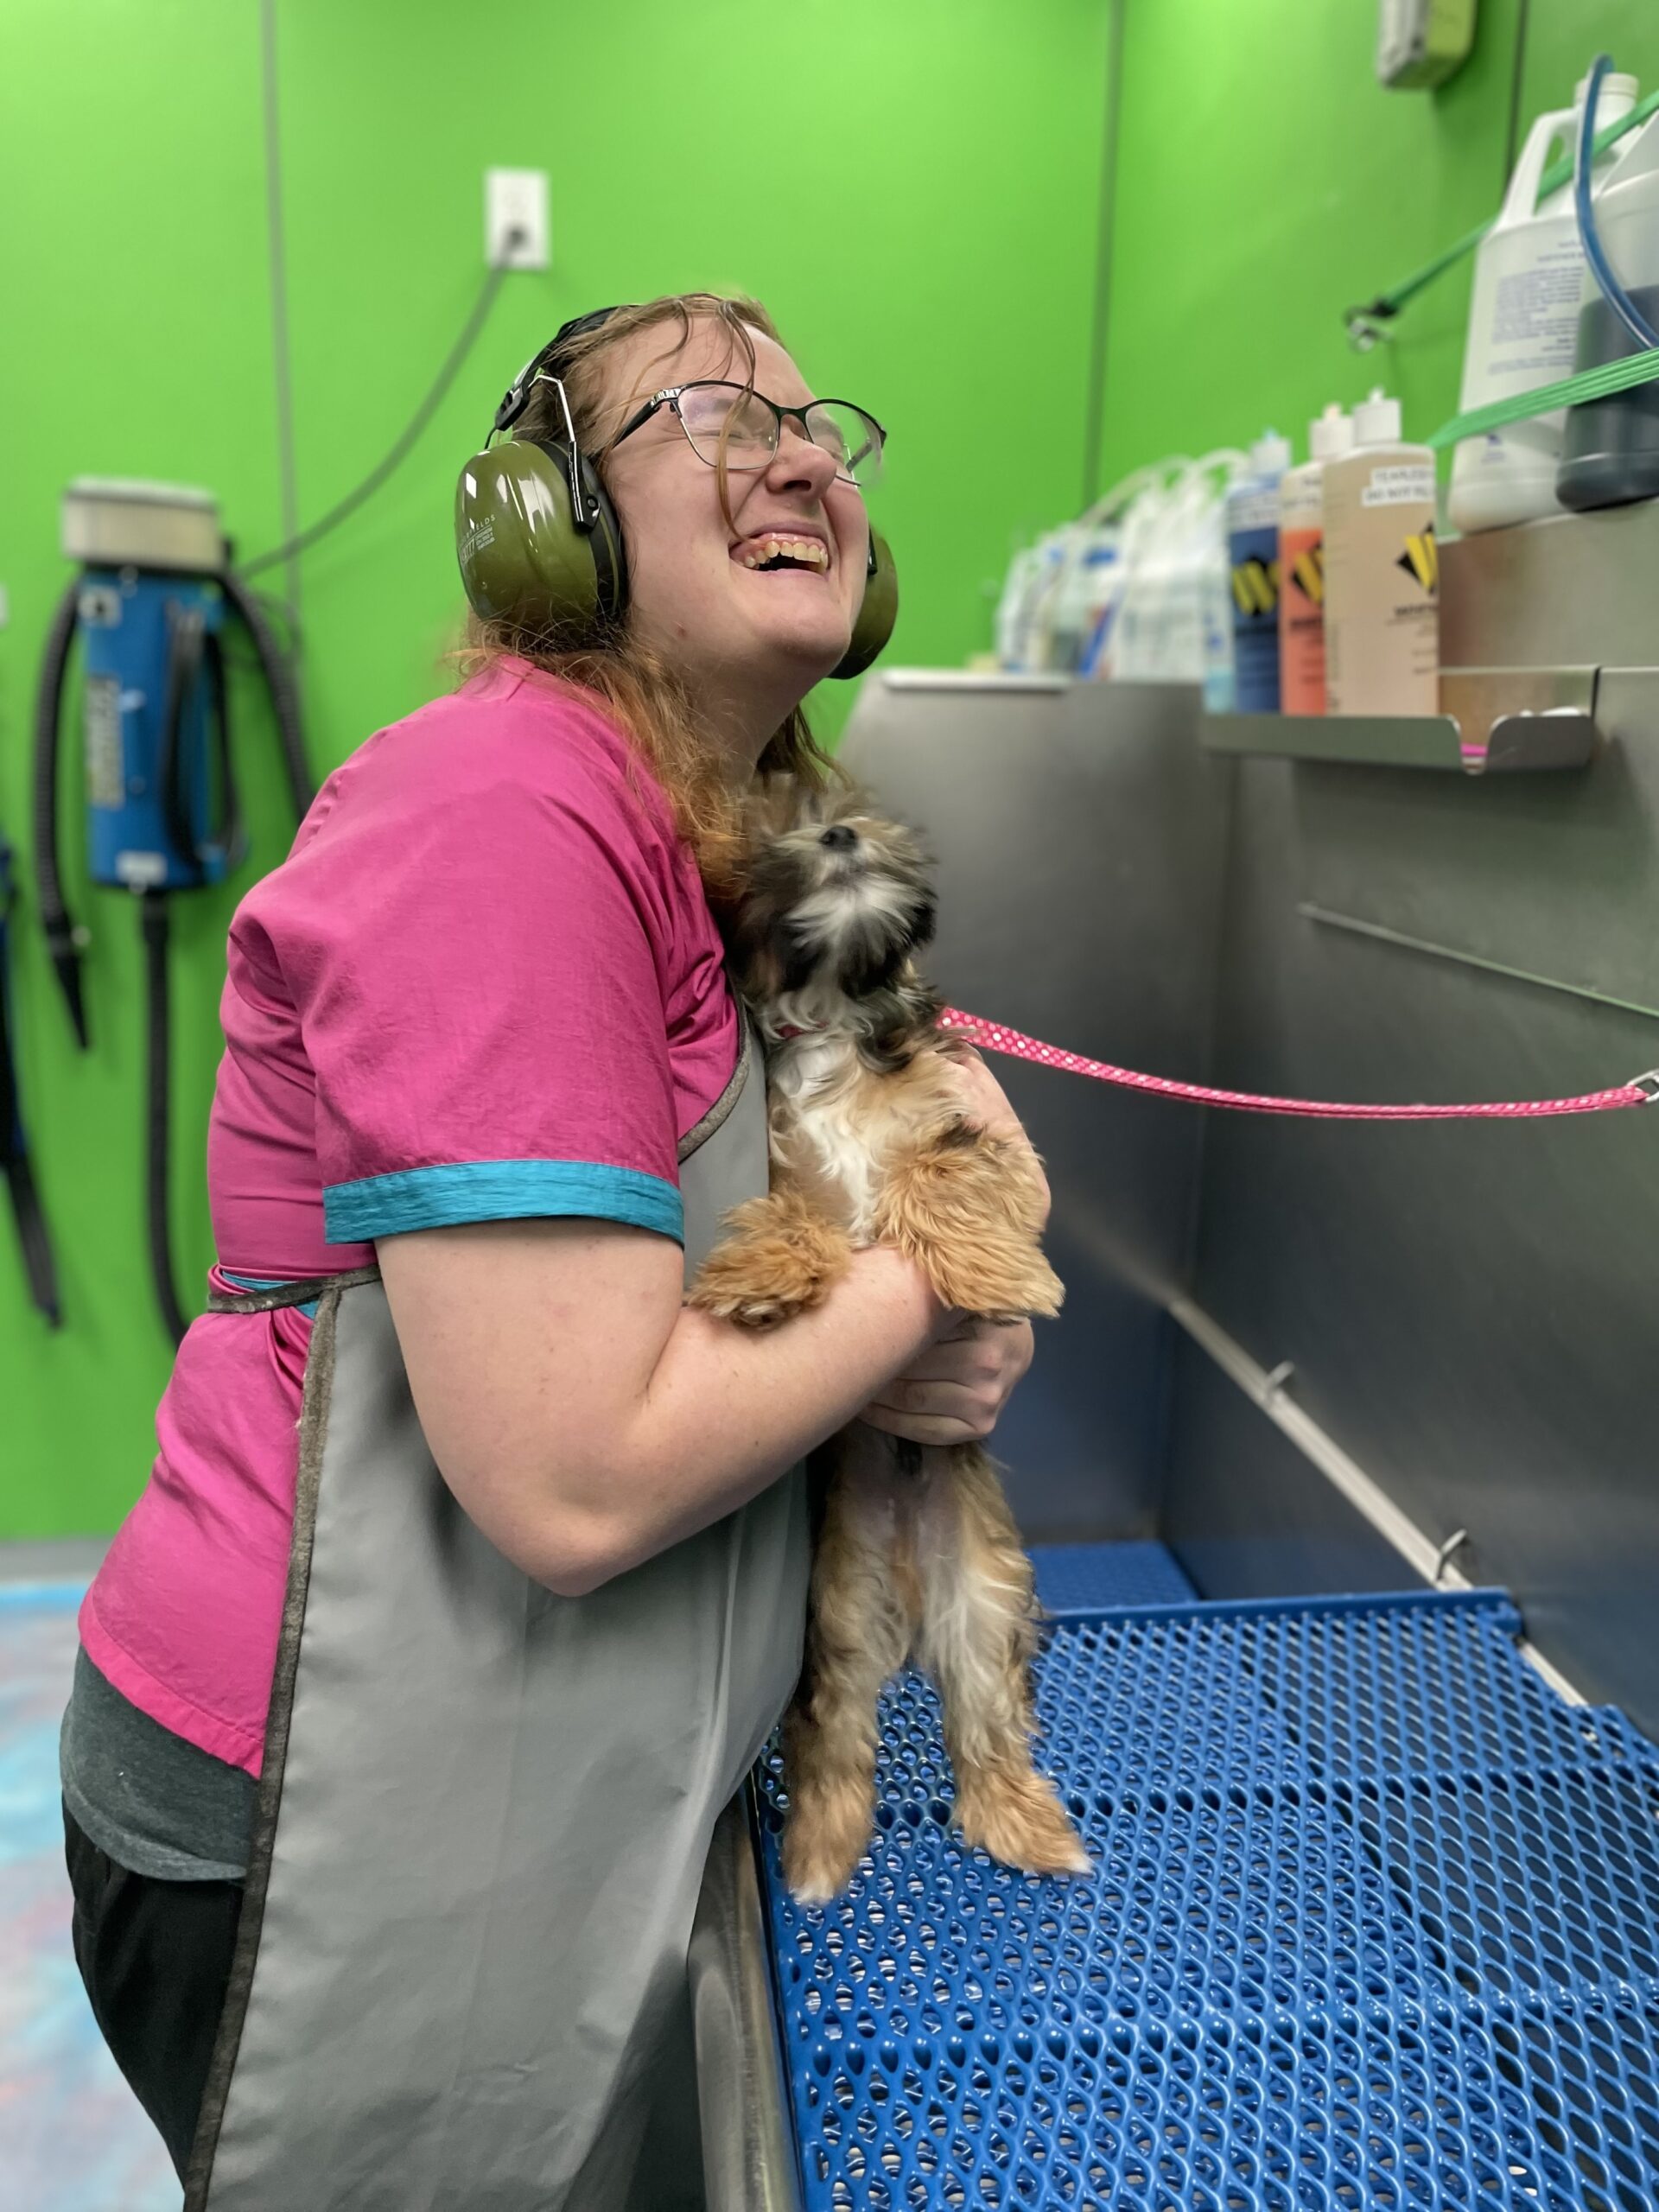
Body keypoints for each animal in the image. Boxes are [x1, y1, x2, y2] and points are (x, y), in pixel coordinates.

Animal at [690, 787, 1092, 1910]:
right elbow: (797, 1212)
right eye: (777, 838)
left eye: (848, 813)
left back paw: (1027, 1826)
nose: (839, 836)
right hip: (835, 1619)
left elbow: (935, 1169)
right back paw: (819, 1857)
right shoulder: (786, 1163)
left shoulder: (974, 1134)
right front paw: (758, 1273)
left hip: (986, 1603)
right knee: (836, 1739)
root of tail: (912, 1602)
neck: (834, 1015)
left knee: (987, 1720)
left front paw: (1000, 1276)